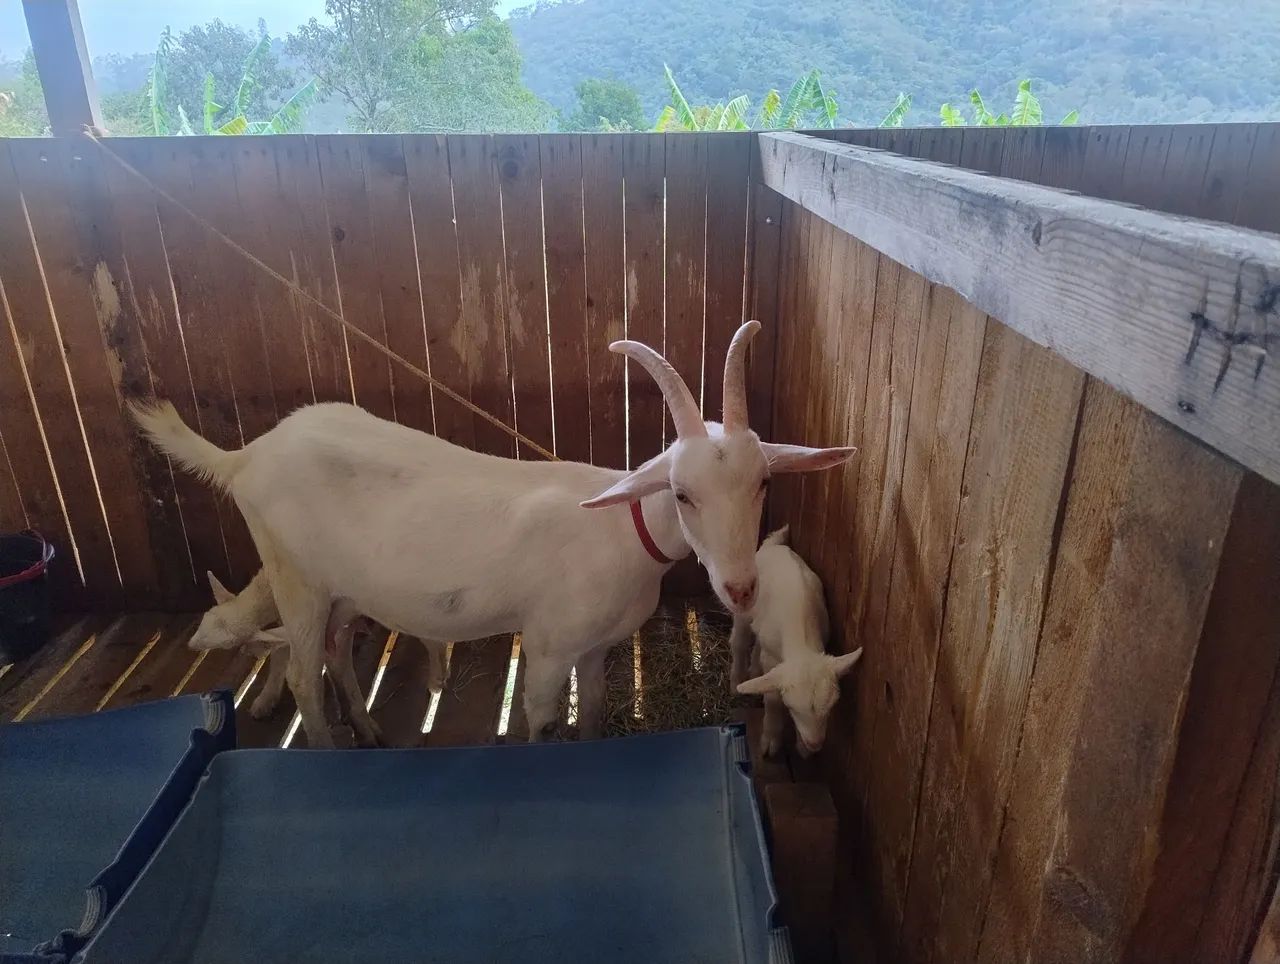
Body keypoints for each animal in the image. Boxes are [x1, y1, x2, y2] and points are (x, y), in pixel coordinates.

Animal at [733, 526, 862, 757]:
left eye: (831, 707)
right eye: (792, 709)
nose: (815, 744)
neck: (801, 641)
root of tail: (773, 545)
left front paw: (803, 748)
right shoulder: (773, 661)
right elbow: (773, 700)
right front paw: (771, 742)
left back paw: (754, 671)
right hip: (744, 610)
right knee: (739, 641)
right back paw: (736, 679)